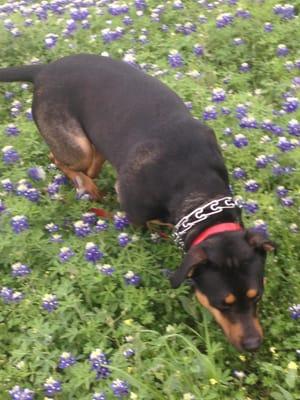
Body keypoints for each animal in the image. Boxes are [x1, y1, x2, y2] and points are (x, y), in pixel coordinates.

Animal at [0, 54, 274, 352]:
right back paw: (85, 185)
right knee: (58, 157)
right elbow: (147, 226)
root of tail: (45, 69)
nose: (253, 344)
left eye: (257, 296)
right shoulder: (134, 210)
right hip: (77, 147)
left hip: (96, 143)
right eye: (222, 304)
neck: (195, 183)